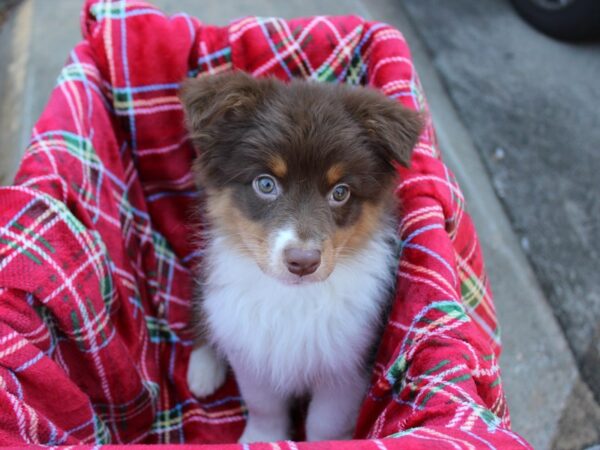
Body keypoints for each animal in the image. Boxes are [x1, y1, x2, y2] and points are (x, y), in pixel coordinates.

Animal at [178, 73, 422, 442]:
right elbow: (263, 405)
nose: (303, 262)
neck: (294, 298)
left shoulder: (347, 365)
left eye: (340, 192)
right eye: (265, 184)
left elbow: (326, 424)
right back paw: (204, 369)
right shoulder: (253, 350)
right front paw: (261, 438)